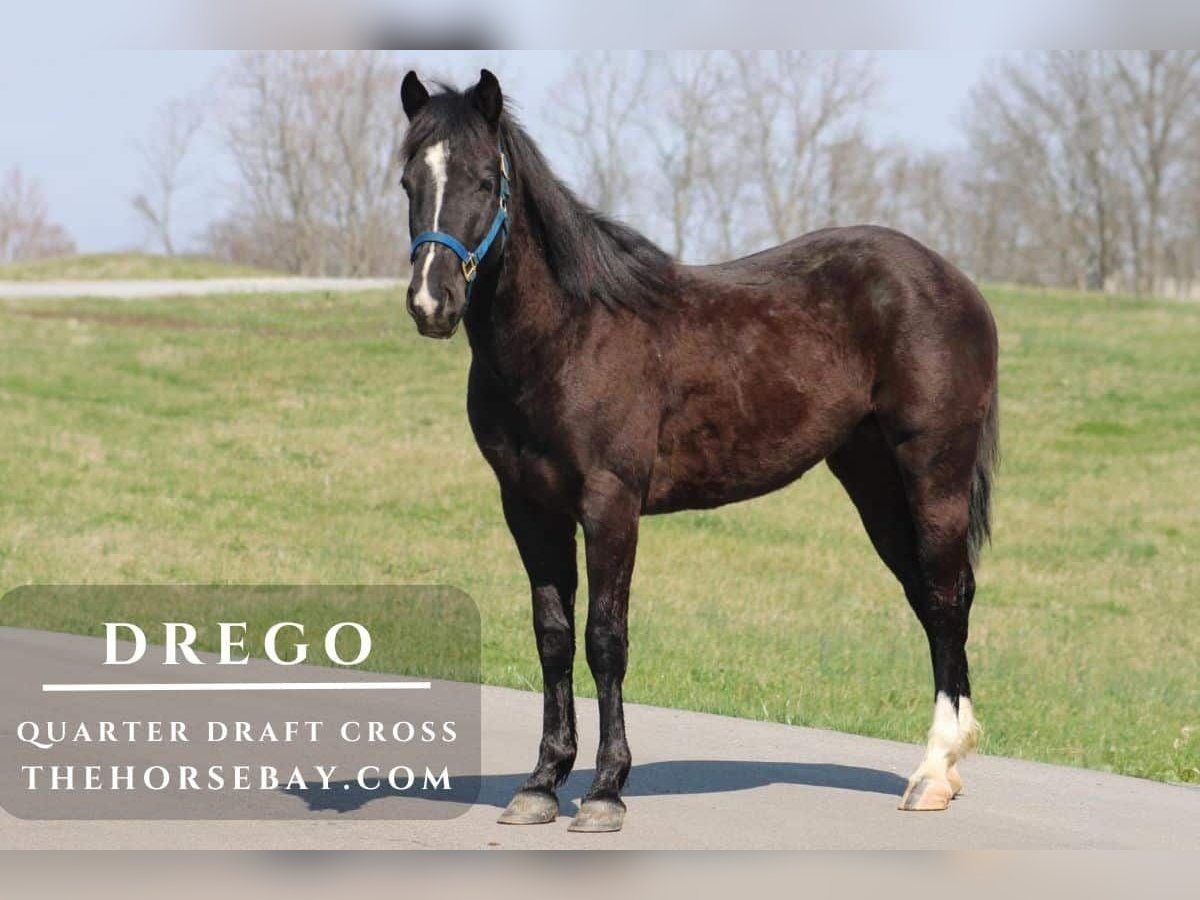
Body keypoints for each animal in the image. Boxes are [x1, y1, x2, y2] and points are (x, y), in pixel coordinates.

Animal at [398, 69, 999, 832]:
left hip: (932, 471)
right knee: (929, 596)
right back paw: (944, 769)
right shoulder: (528, 507)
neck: (568, 335)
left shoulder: (611, 503)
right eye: (409, 180)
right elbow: (553, 636)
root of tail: (953, 281)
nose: (432, 302)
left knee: (949, 599)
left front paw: (605, 789)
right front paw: (541, 783)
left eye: (483, 178)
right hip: (871, 478)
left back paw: (932, 771)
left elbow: (606, 638)